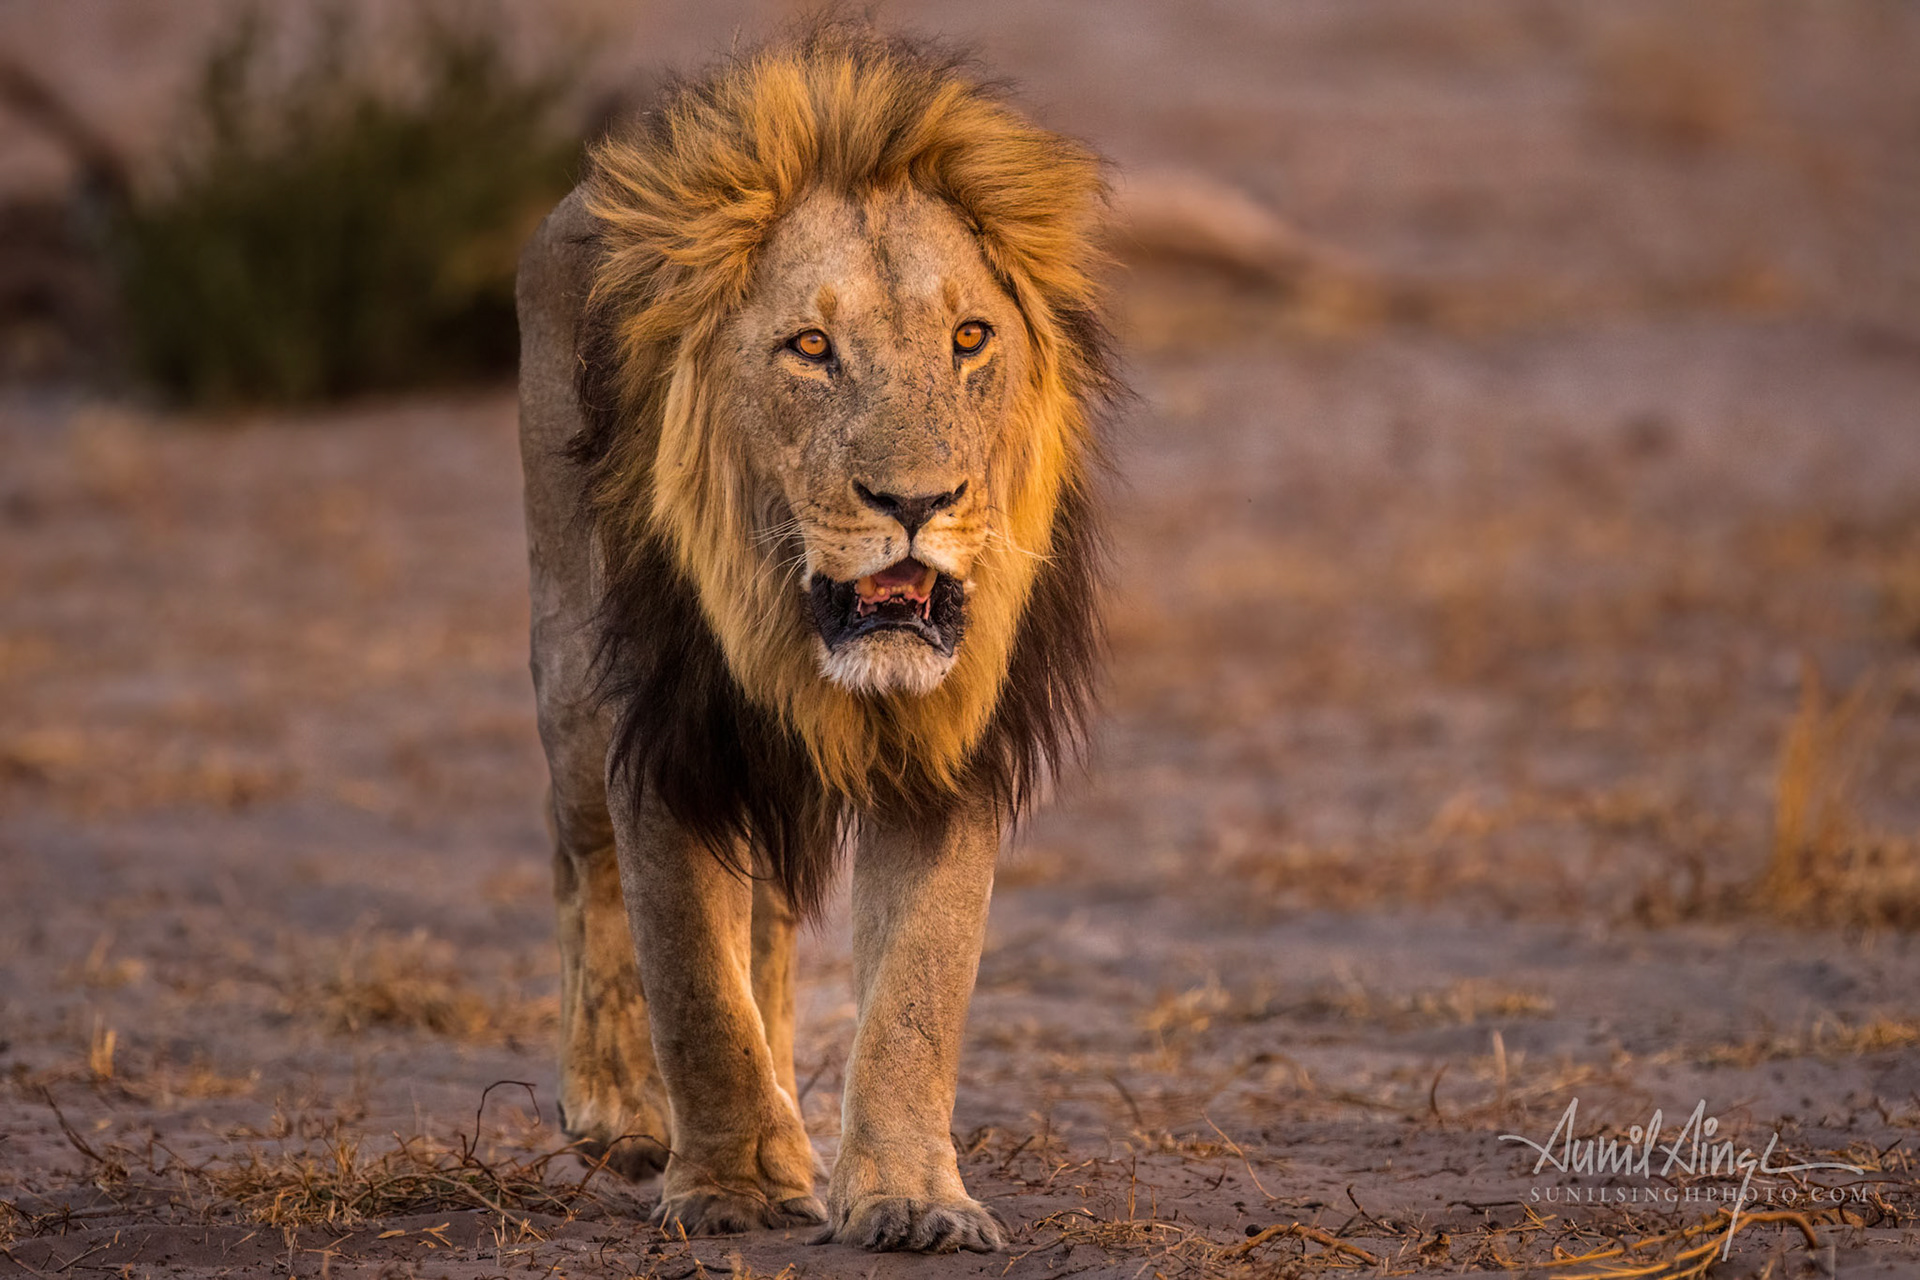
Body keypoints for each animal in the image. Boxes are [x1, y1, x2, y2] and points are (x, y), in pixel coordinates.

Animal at [515, 25, 1114, 1254]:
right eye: (808, 348)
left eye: (970, 338)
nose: (918, 501)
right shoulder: (667, 728)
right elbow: (691, 978)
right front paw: (735, 1185)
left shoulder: (949, 750)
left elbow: (919, 990)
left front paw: (911, 1196)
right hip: (570, 674)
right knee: (580, 854)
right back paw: (619, 1107)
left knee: (772, 924)